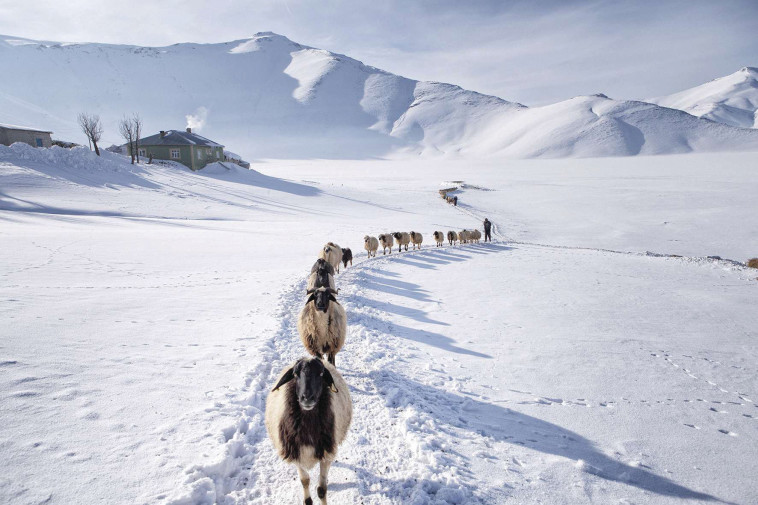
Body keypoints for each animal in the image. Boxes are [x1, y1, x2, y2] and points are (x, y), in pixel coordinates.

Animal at [268, 356, 354, 504]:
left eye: (321, 374)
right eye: (295, 374)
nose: (307, 398)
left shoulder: (326, 454)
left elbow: (321, 489)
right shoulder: (297, 454)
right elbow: (305, 481)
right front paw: (307, 499)